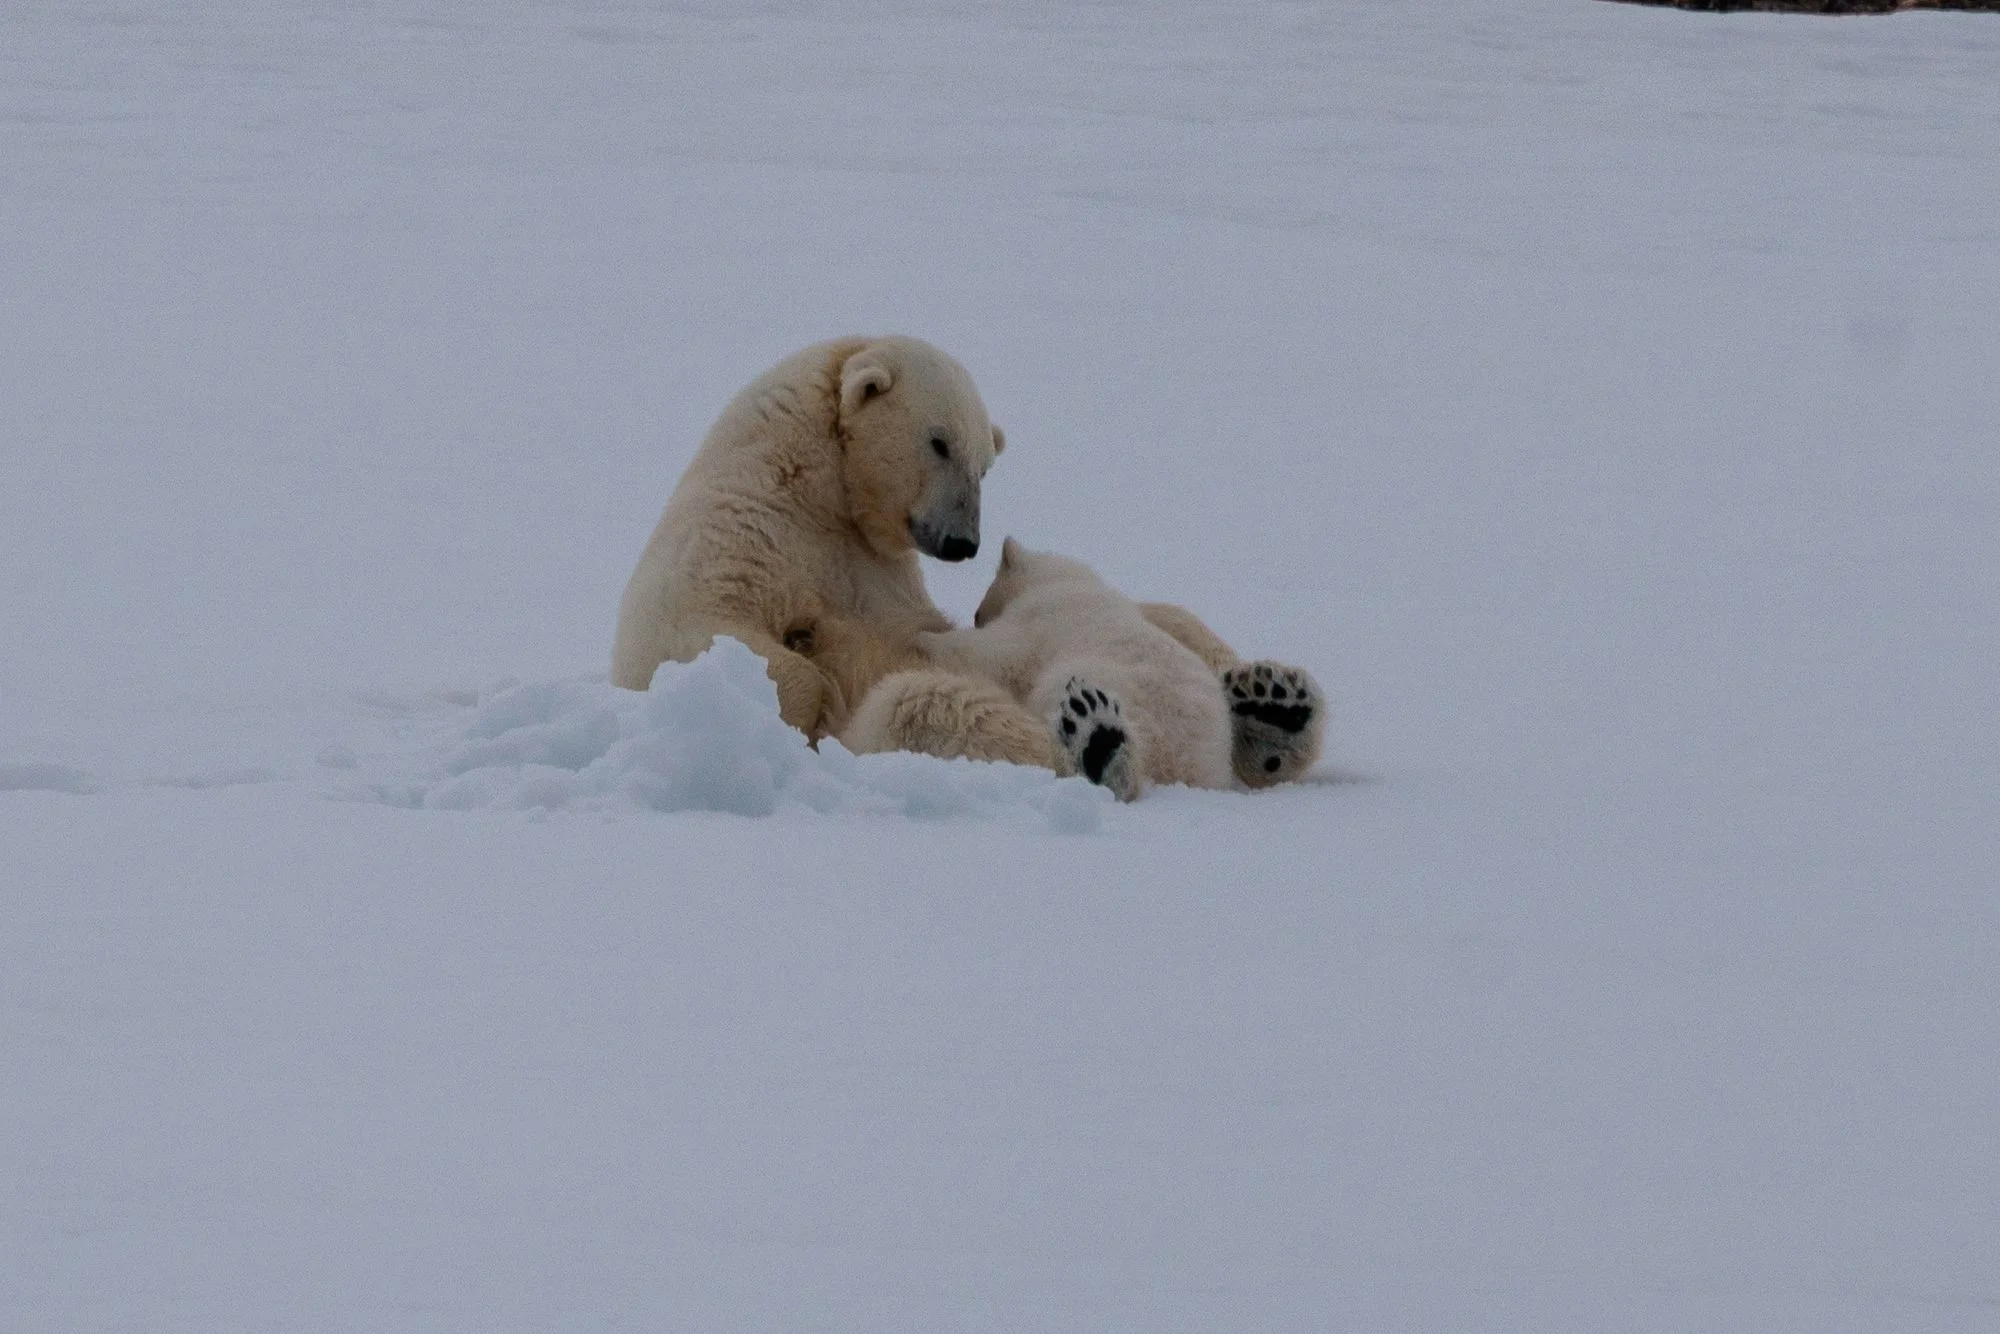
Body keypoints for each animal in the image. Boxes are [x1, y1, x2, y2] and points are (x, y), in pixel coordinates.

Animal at [913, 538, 1237, 801]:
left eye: (978, 613)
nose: (977, 616)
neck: (1060, 582)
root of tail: (1183, 762)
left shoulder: (1037, 622)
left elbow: (995, 653)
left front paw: (924, 638)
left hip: (1093, 681)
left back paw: (1098, 741)